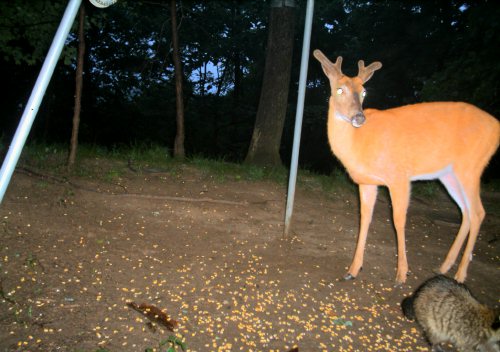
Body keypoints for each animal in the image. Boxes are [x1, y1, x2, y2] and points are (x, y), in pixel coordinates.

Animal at [314, 49, 498, 284]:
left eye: (364, 92)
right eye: (339, 89)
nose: (359, 117)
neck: (359, 142)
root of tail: (497, 127)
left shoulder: (399, 176)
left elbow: (398, 220)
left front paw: (402, 273)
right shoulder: (366, 182)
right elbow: (364, 218)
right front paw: (352, 269)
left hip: (471, 166)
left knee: (478, 212)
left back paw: (460, 274)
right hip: (449, 174)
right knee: (465, 212)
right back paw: (444, 267)